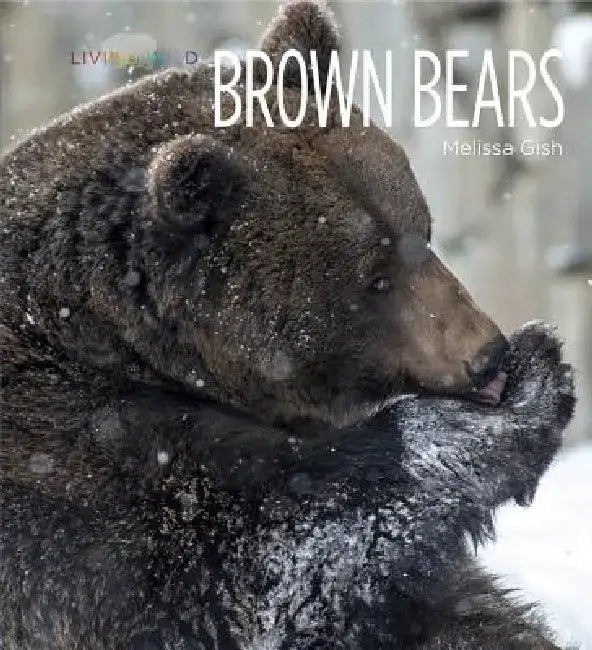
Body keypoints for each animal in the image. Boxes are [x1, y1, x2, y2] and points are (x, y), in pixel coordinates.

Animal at [0, 1, 575, 649]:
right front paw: (522, 392)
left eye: (422, 230)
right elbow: (268, 556)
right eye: (375, 278)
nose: (486, 353)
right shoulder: (76, 480)